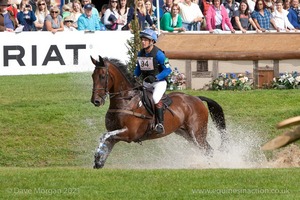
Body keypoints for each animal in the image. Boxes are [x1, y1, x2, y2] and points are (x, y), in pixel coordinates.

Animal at [91, 55, 227, 169]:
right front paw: (98, 161)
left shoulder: (129, 133)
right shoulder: (115, 133)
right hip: (186, 134)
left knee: (208, 150)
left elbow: (104, 136)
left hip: (197, 133)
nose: (96, 101)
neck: (126, 100)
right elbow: (106, 140)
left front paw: (97, 156)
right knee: (205, 150)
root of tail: (197, 98)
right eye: (92, 76)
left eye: (102, 76)